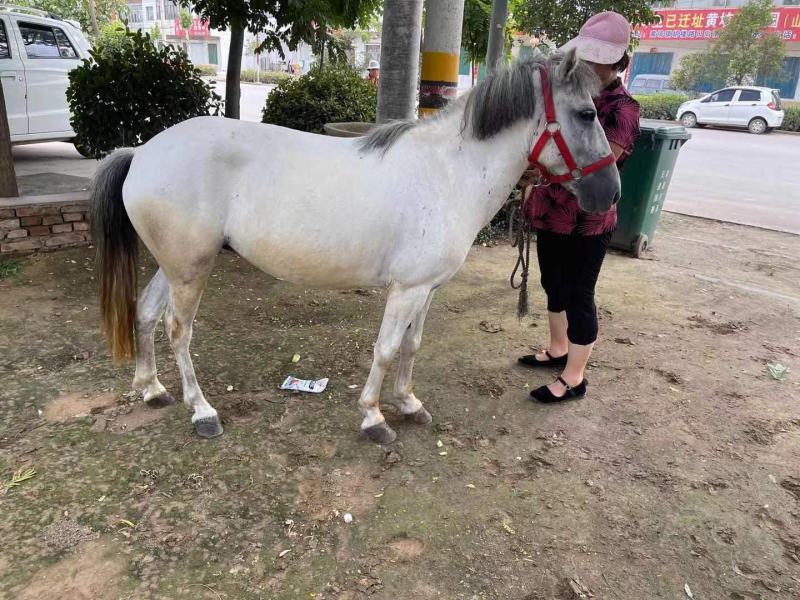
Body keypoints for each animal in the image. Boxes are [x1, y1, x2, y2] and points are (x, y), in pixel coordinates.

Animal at [90, 49, 620, 444]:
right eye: (586, 113)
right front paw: (374, 417)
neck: (447, 172)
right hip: (190, 269)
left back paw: (152, 389)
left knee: (145, 313)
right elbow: (385, 349)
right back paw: (201, 411)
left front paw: (409, 403)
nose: (611, 194)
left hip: (175, 266)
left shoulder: (426, 289)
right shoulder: (406, 289)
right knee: (178, 331)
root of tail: (142, 151)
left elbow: (411, 345)